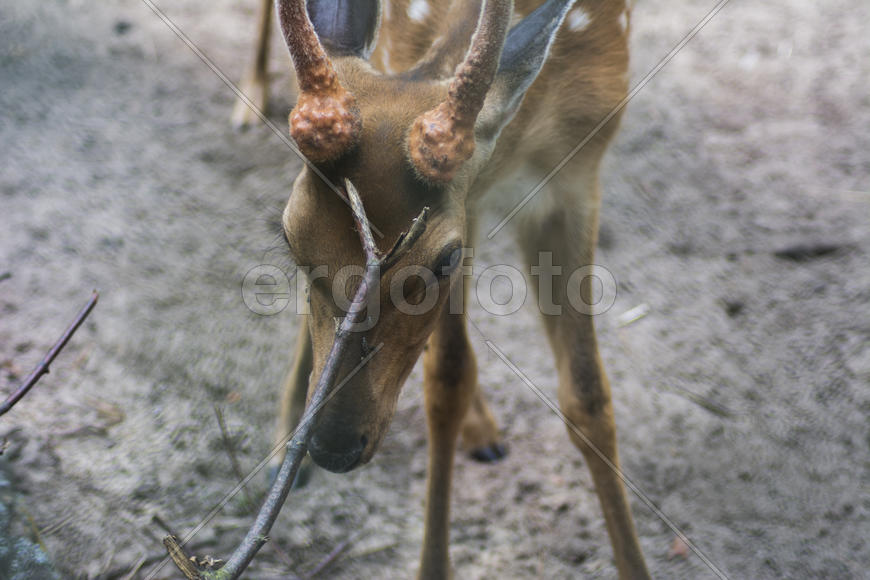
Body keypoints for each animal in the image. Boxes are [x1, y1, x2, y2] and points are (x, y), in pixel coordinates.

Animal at [234, 1, 649, 578]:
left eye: (443, 258)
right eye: (290, 237)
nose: (333, 446)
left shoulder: (574, 178)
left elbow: (588, 394)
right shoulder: (470, 198)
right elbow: (447, 379)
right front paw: (434, 565)